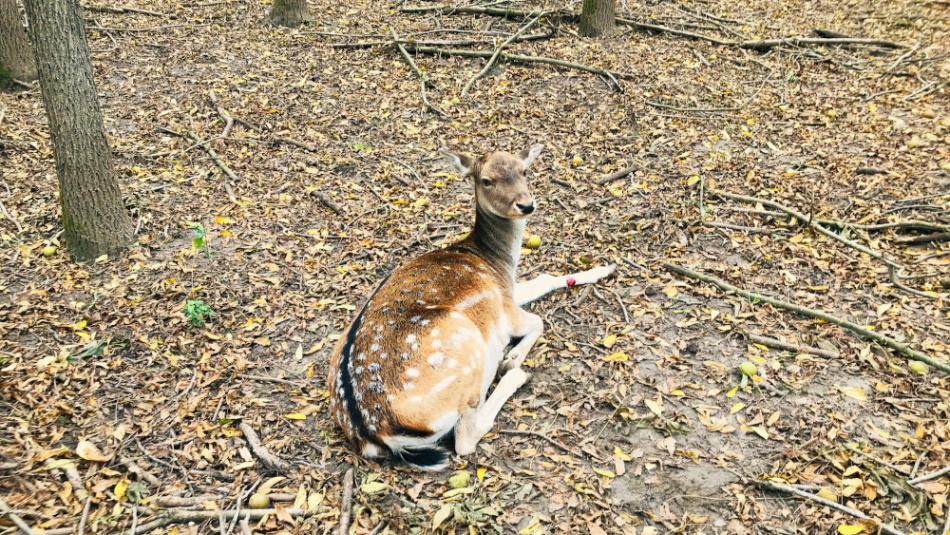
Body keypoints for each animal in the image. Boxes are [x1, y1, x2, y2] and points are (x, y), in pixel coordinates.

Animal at [328, 146, 616, 468]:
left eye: (524, 171)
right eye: (487, 180)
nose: (526, 204)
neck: (495, 262)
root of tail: (375, 432)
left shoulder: (508, 290)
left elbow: (544, 279)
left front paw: (605, 268)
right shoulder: (506, 307)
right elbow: (539, 320)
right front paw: (512, 358)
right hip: (466, 349)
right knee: (465, 438)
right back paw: (515, 373)